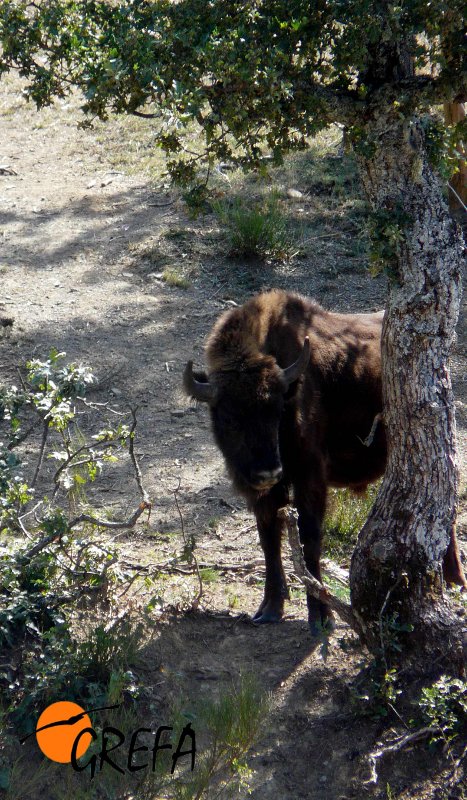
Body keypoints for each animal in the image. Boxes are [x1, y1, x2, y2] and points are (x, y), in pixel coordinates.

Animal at [185, 290, 466, 636]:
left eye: (277, 410)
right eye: (228, 416)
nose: (267, 472)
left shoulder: (310, 478)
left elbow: (310, 538)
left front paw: (321, 616)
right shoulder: (265, 493)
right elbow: (269, 539)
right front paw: (269, 608)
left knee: (447, 515)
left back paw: (455, 580)